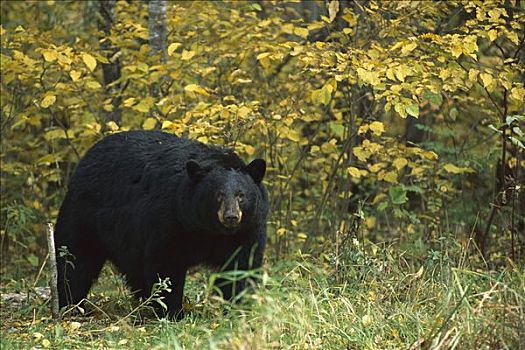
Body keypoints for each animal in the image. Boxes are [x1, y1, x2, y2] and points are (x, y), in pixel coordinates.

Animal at [54, 130, 266, 318]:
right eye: (218, 195)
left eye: (241, 195)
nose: (231, 217)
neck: (208, 229)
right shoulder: (169, 220)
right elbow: (166, 264)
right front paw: (174, 312)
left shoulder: (247, 230)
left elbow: (241, 266)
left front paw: (237, 306)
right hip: (85, 216)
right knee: (75, 262)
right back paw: (73, 306)